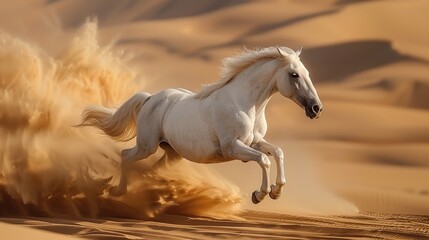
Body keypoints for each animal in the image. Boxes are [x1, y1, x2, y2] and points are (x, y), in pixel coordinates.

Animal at [79, 46, 320, 203]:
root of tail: (150, 98)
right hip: (146, 146)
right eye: (294, 74)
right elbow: (263, 160)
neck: (245, 104)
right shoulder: (233, 147)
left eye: (308, 73)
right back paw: (119, 191)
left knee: (151, 168)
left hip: (172, 153)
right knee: (125, 156)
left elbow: (277, 152)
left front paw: (277, 191)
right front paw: (259, 195)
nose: (316, 108)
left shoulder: (256, 141)